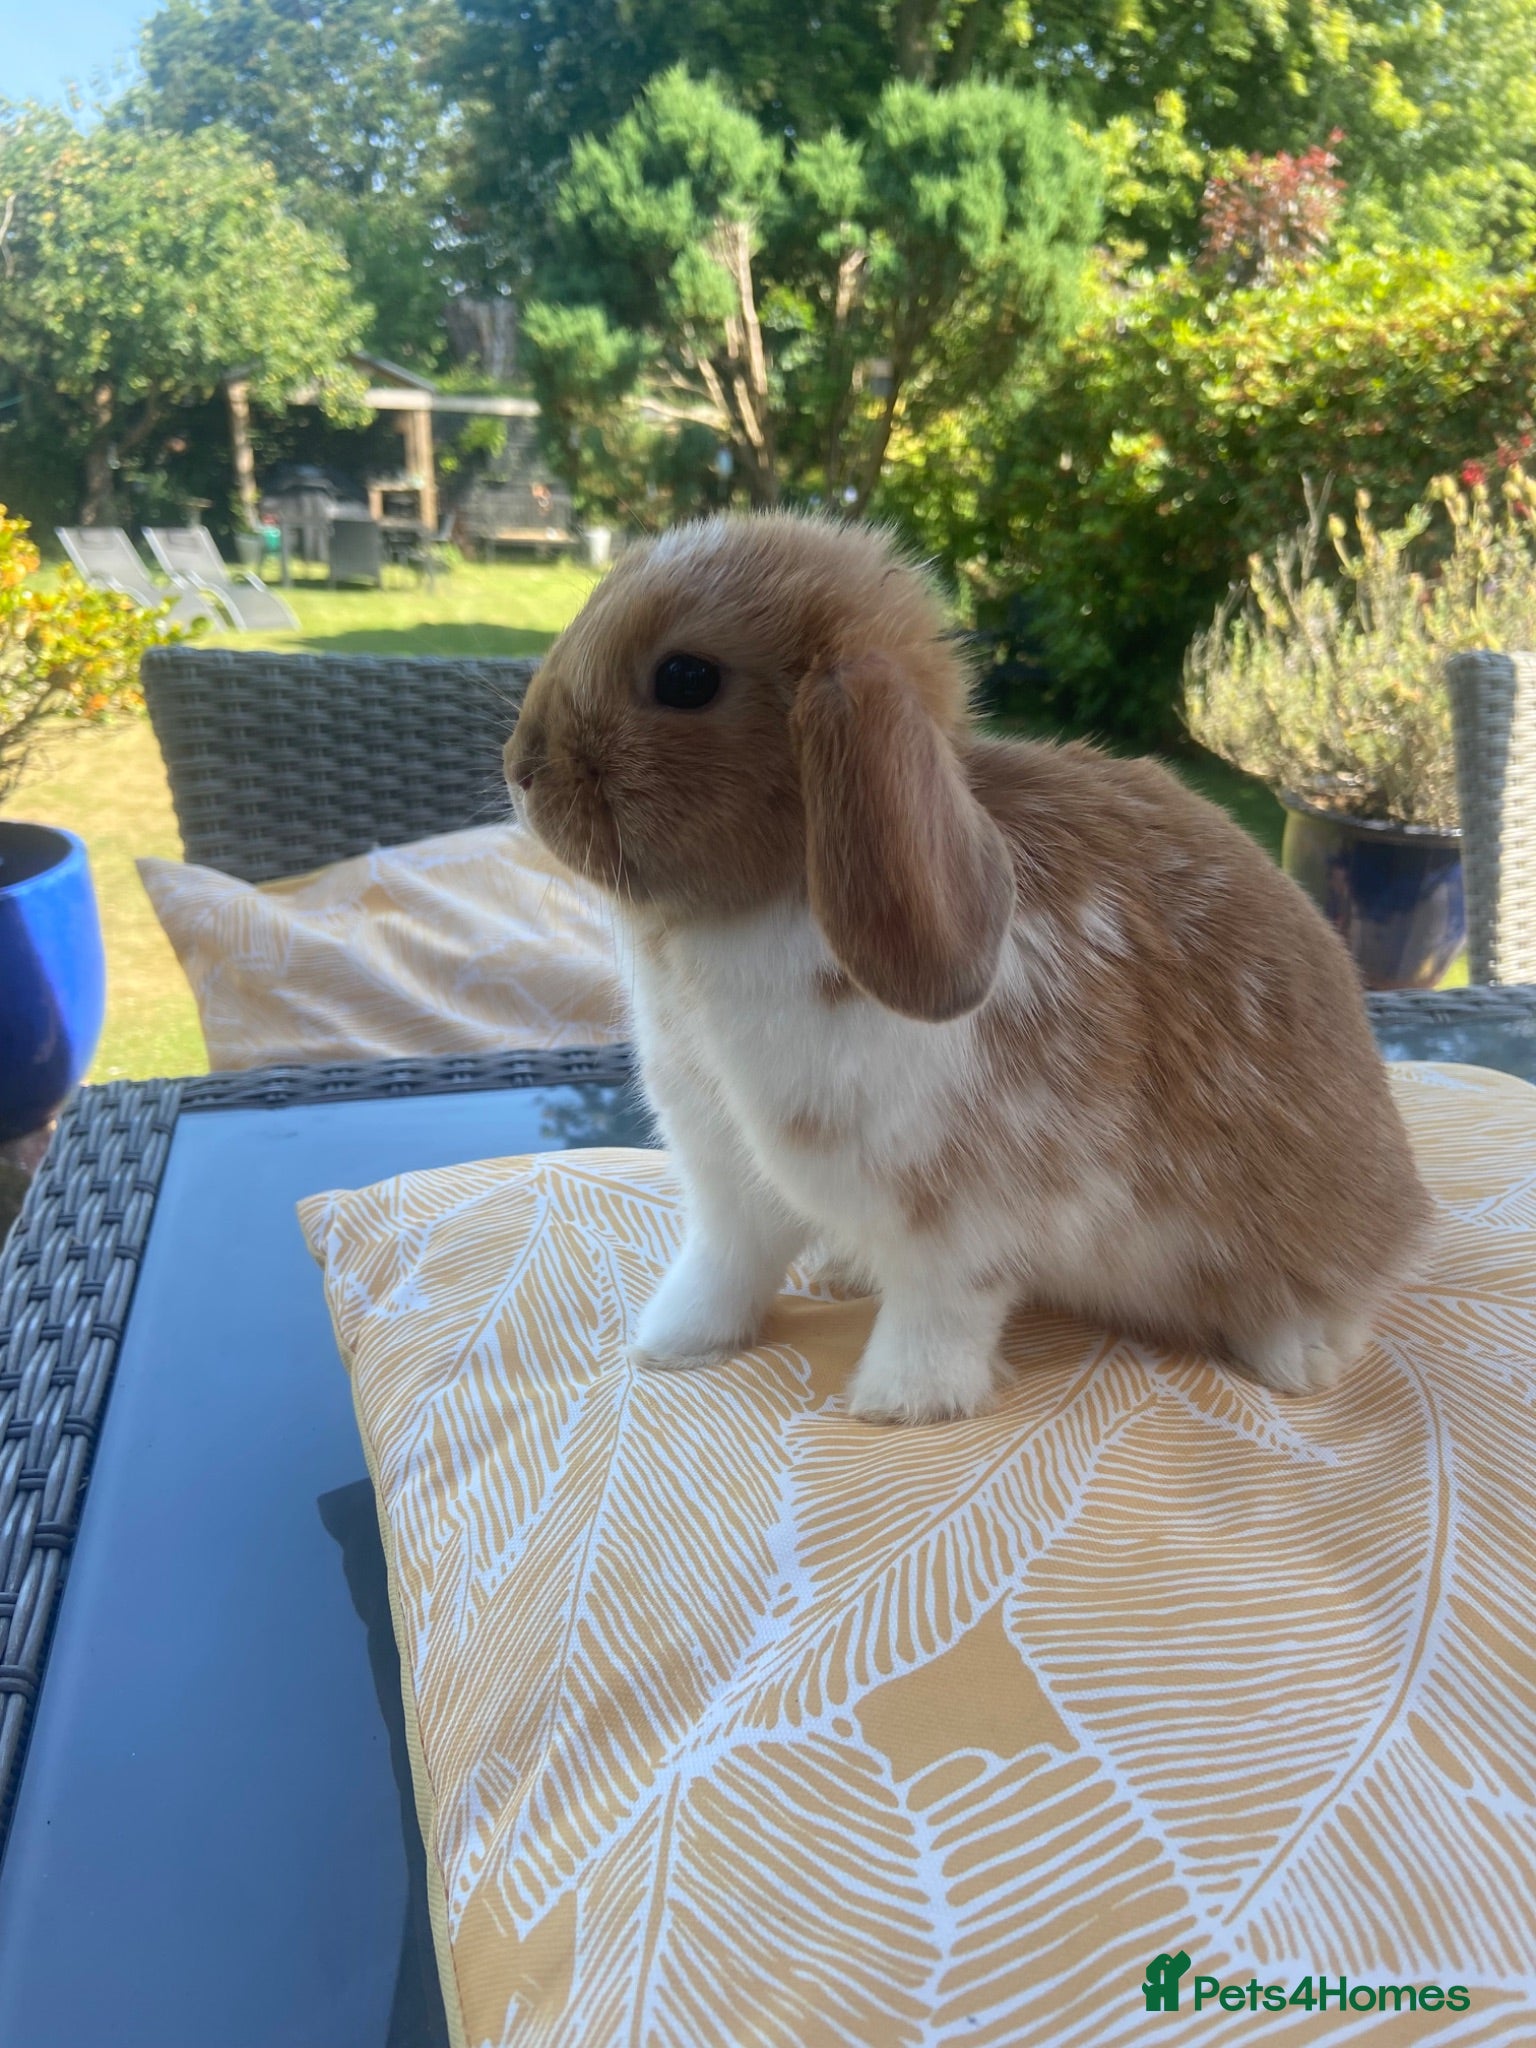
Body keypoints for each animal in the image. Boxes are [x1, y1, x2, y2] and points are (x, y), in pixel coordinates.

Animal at [505, 512, 1433, 1422]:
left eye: (686, 677)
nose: (520, 767)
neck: (769, 902)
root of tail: (1407, 1210)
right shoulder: (729, 1181)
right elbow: (723, 1271)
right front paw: (671, 1346)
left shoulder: (961, 1215)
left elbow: (941, 1312)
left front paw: (897, 1405)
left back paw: (1298, 1359)